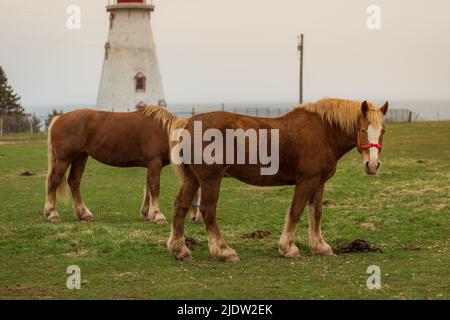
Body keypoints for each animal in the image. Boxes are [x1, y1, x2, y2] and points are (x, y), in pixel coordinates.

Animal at [44, 109, 202, 224]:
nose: (197, 218)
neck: (164, 131)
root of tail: (58, 118)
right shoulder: (154, 163)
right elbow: (154, 188)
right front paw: (157, 215)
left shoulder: (151, 165)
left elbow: (148, 188)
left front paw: (147, 213)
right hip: (64, 159)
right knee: (54, 182)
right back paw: (52, 213)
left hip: (80, 157)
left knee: (74, 182)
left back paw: (84, 213)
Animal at [143, 99, 386, 262]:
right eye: (362, 129)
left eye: (382, 130)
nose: (372, 165)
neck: (322, 132)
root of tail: (186, 122)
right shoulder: (307, 181)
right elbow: (296, 211)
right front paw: (288, 248)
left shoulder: (319, 183)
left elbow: (315, 213)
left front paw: (319, 246)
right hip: (210, 179)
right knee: (208, 210)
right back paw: (223, 251)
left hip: (193, 179)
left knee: (181, 206)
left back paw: (179, 250)